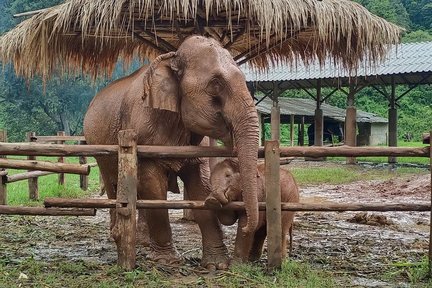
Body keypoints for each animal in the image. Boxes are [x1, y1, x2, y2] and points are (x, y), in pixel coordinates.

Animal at [84, 36, 260, 270]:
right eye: (216, 83)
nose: (247, 226)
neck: (173, 58)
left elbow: (200, 186)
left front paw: (216, 265)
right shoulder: (143, 131)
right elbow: (153, 187)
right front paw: (166, 261)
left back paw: (141, 241)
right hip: (100, 147)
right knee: (113, 185)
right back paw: (117, 236)